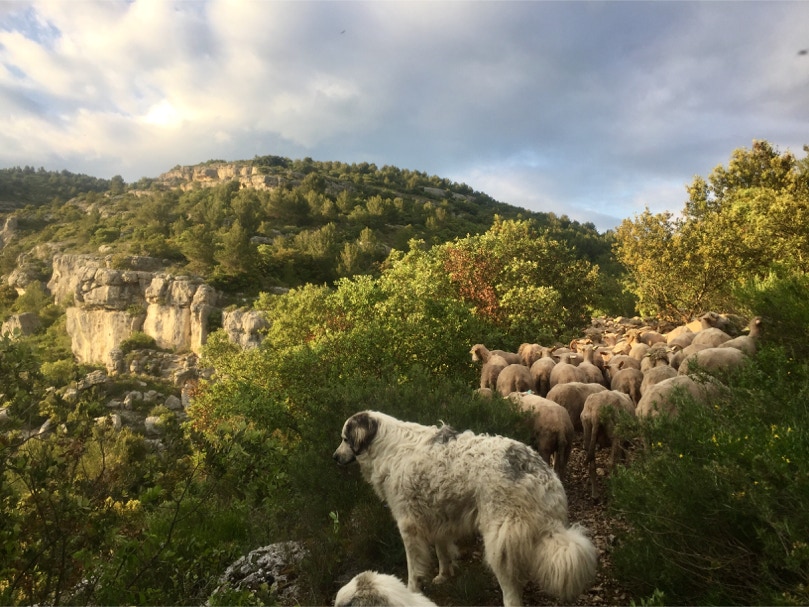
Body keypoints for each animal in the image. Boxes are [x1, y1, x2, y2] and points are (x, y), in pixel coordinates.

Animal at [333, 410, 598, 606]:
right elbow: (442, 551)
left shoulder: (408, 526)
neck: (385, 445)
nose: (334, 457)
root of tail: (537, 469)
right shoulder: (436, 518)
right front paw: (443, 575)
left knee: (510, 588)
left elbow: (413, 569)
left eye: (345, 439)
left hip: (497, 539)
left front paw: (411, 590)